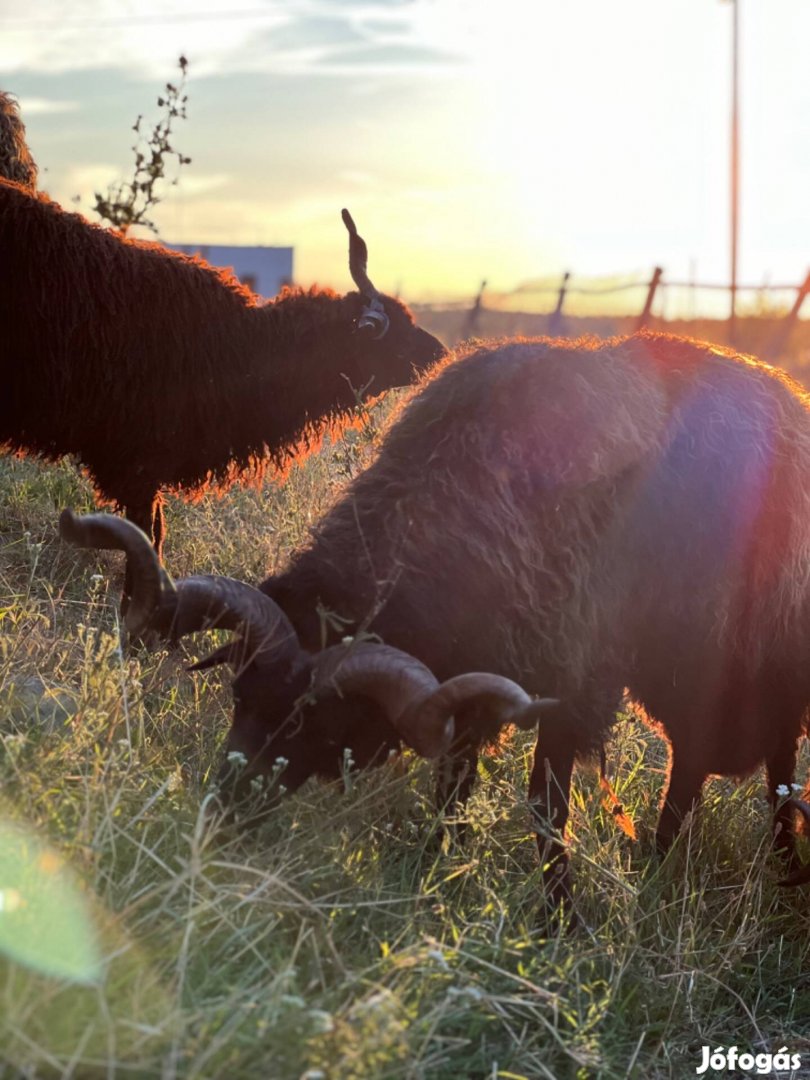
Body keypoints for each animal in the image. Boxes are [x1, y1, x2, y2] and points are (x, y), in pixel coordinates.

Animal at [63, 330, 810, 902]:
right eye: (240, 695)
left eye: (320, 724)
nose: (218, 814)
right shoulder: (479, 680)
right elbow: (453, 783)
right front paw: (429, 864)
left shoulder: (574, 687)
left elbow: (545, 807)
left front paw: (558, 915)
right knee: (700, 761)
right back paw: (666, 859)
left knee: (772, 770)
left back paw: (773, 868)